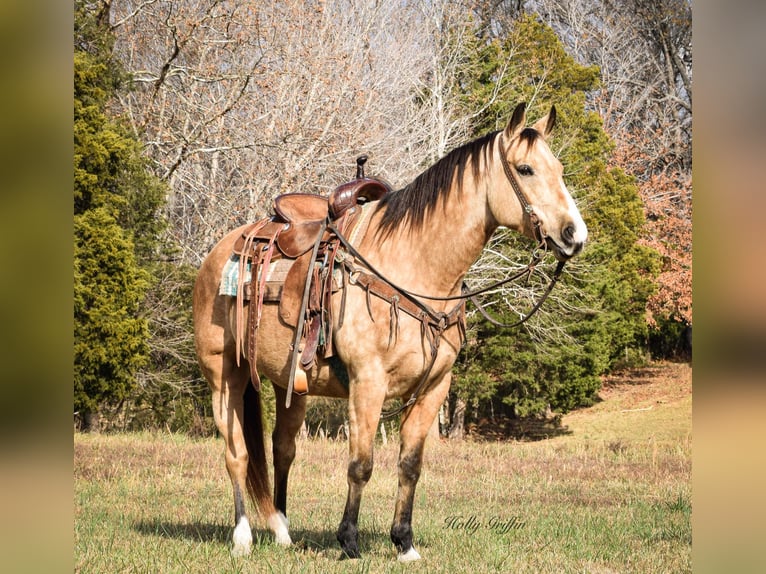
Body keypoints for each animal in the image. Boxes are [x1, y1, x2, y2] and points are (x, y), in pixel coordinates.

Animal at [192, 102, 588, 564]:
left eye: (558, 168)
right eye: (525, 169)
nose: (575, 235)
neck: (413, 265)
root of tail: (222, 250)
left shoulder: (434, 387)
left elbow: (410, 466)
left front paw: (404, 543)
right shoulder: (368, 382)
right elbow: (361, 465)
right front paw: (349, 542)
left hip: (289, 384)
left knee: (282, 449)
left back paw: (282, 531)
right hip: (225, 377)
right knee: (236, 453)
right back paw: (243, 537)